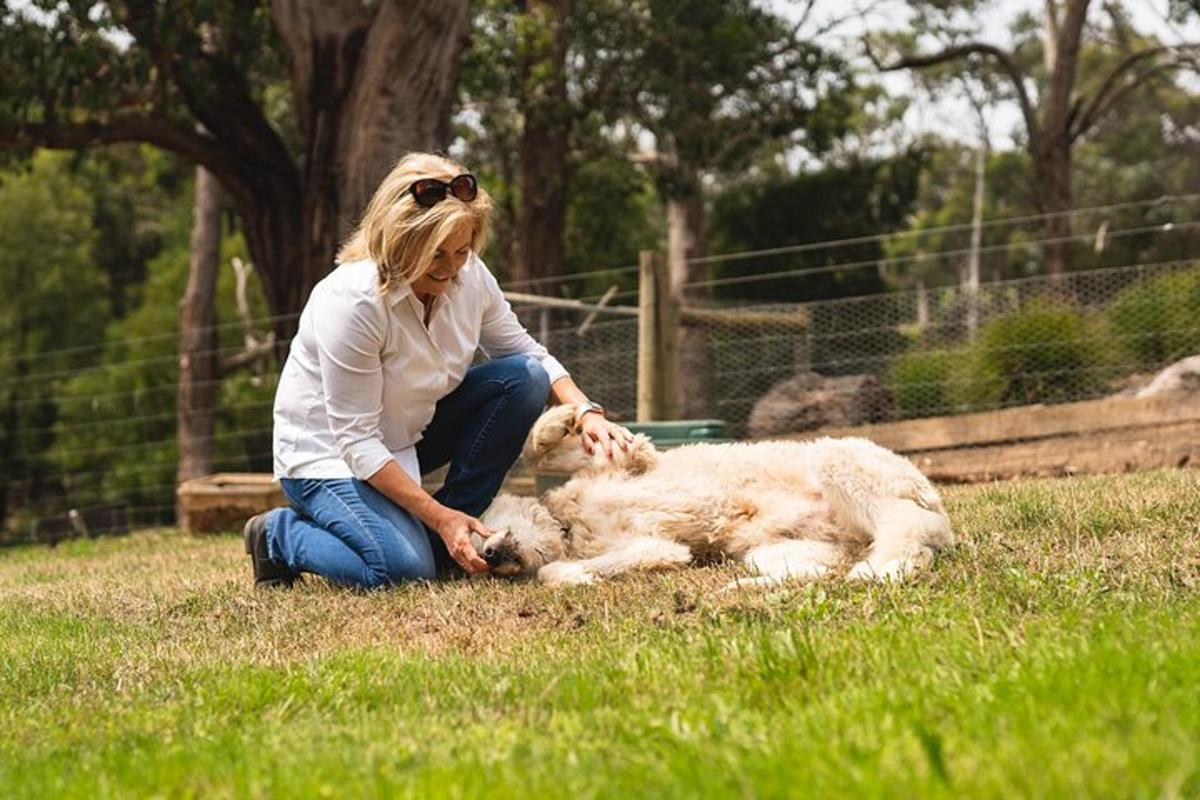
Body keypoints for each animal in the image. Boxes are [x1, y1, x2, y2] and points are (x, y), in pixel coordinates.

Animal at [477, 407, 955, 587]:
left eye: (480, 525)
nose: (489, 555)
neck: (570, 526)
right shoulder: (657, 547)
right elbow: (552, 570)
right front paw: (575, 575)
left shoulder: (628, 458)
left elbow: (538, 449)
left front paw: (557, 421)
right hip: (776, 553)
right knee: (826, 570)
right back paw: (746, 586)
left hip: (836, 460)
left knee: (907, 530)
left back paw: (882, 569)